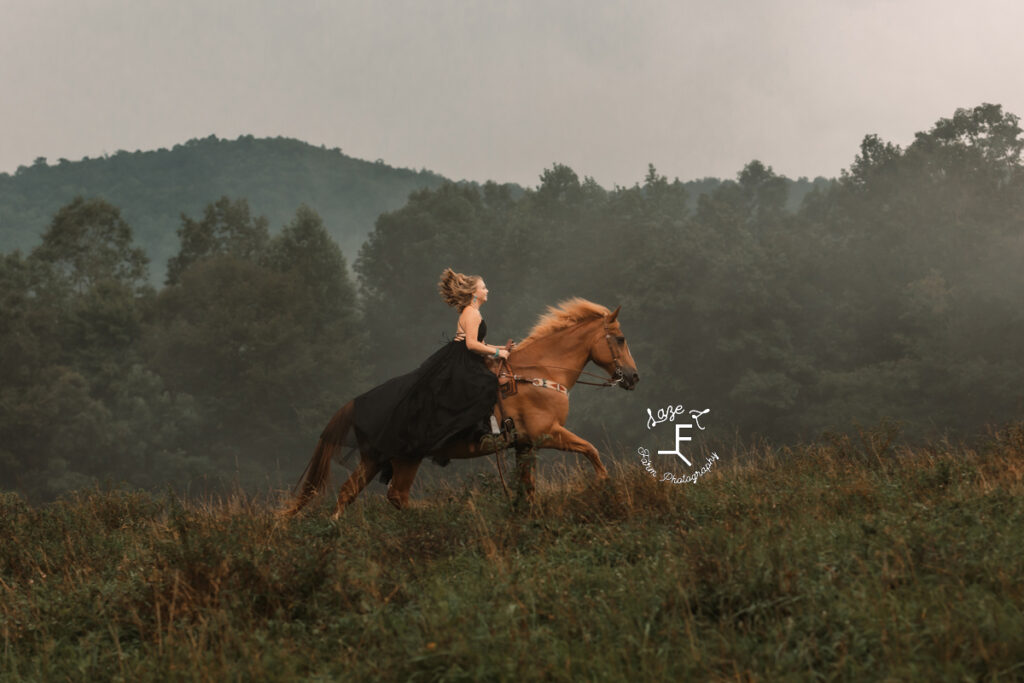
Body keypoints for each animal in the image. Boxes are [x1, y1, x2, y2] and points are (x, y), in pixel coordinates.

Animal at [286, 299, 638, 518]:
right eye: (620, 338)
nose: (634, 377)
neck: (542, 372)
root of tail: (356, 403)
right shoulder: (547, 434)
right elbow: (591, 449)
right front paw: (605, 484)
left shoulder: (524, 444)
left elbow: (528, 488)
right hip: (405, 458)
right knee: (395, 496)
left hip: (376, 459)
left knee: (350, 493)